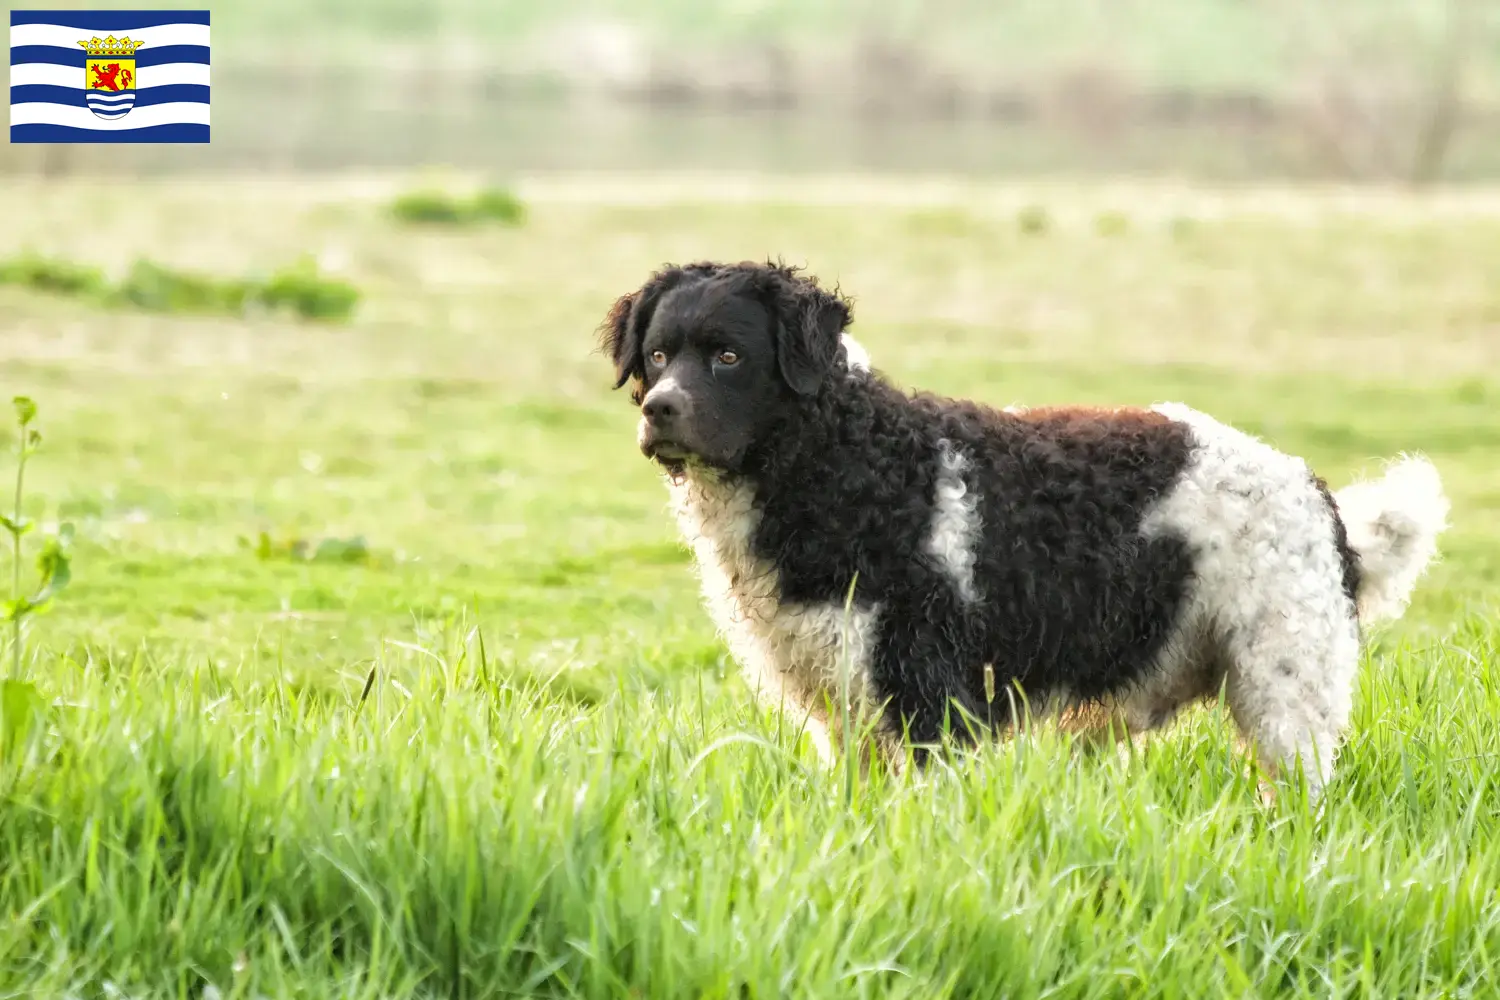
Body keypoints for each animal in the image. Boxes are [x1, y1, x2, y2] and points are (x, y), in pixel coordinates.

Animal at [597, 257, 1452, 797]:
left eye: (729, 357)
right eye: (659, 355)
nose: (659, 410)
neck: (845, 460)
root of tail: (1321, 498)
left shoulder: (930, 696)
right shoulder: (848, 711)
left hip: (1285, 698)